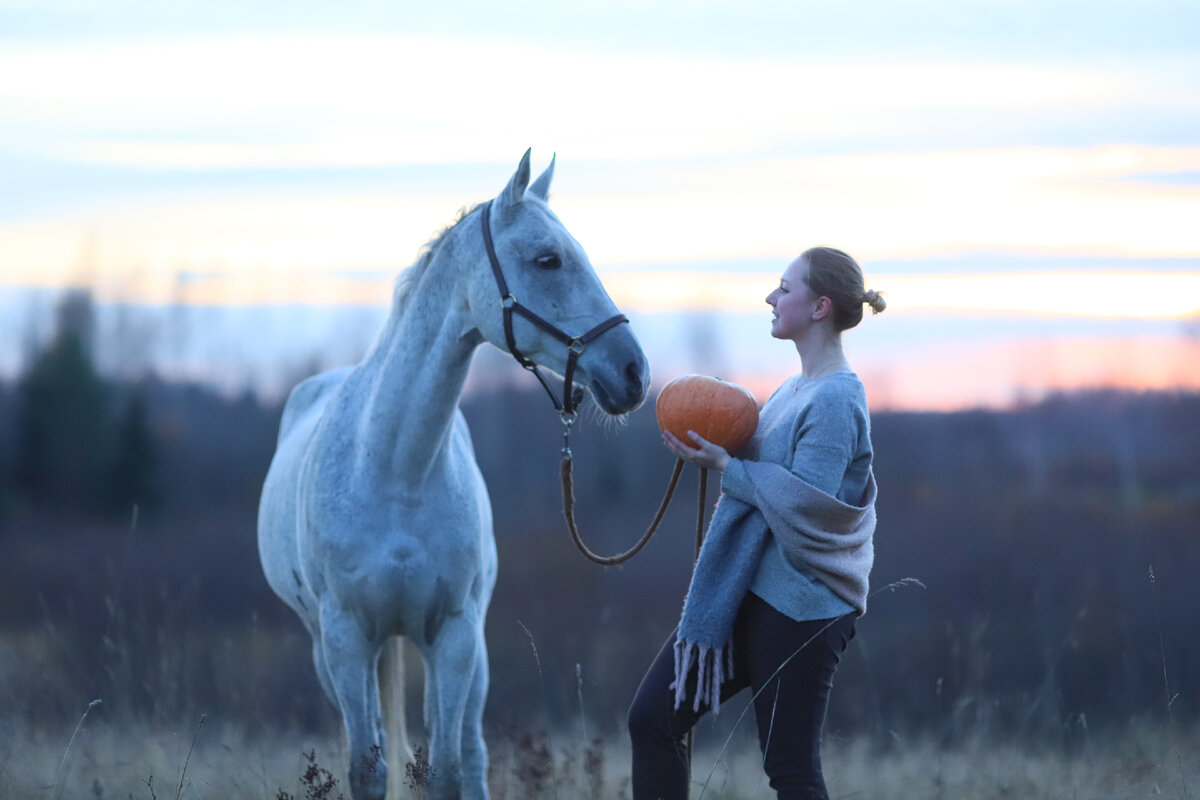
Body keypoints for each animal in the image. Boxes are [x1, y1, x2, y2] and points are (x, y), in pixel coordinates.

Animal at [259, 151, 652, 800]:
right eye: (548, 258)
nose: (633, 371)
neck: (397, 471)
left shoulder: (456, 635)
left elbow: (445, 770)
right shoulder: (344, 640)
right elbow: (368, 769)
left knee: (469, 751)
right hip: (334, 652)